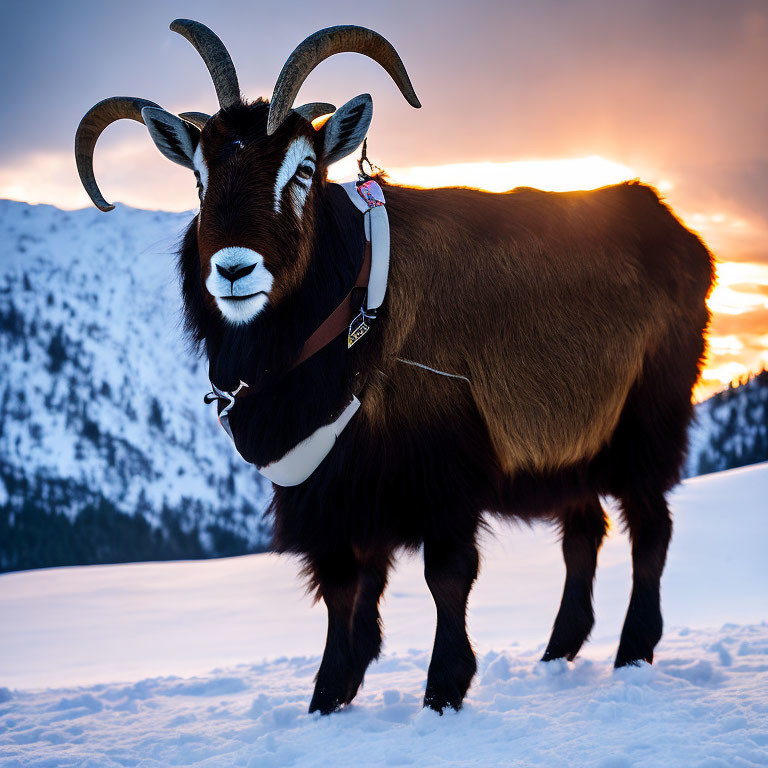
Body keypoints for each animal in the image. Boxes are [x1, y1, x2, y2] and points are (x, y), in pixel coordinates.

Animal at [75, 18, 712, 712]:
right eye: (198, 175)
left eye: (304, 169)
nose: (235, 269)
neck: (352, 314)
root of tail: (678, 232)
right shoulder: (330, 483)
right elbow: (342, 582)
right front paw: (331, 693)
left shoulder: (441, 463)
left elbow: (446, 575)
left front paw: (443, 688)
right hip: (568, 442)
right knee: (583, 531)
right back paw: (557, 650)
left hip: (646, 416)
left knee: (650, 526)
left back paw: (633, 650)